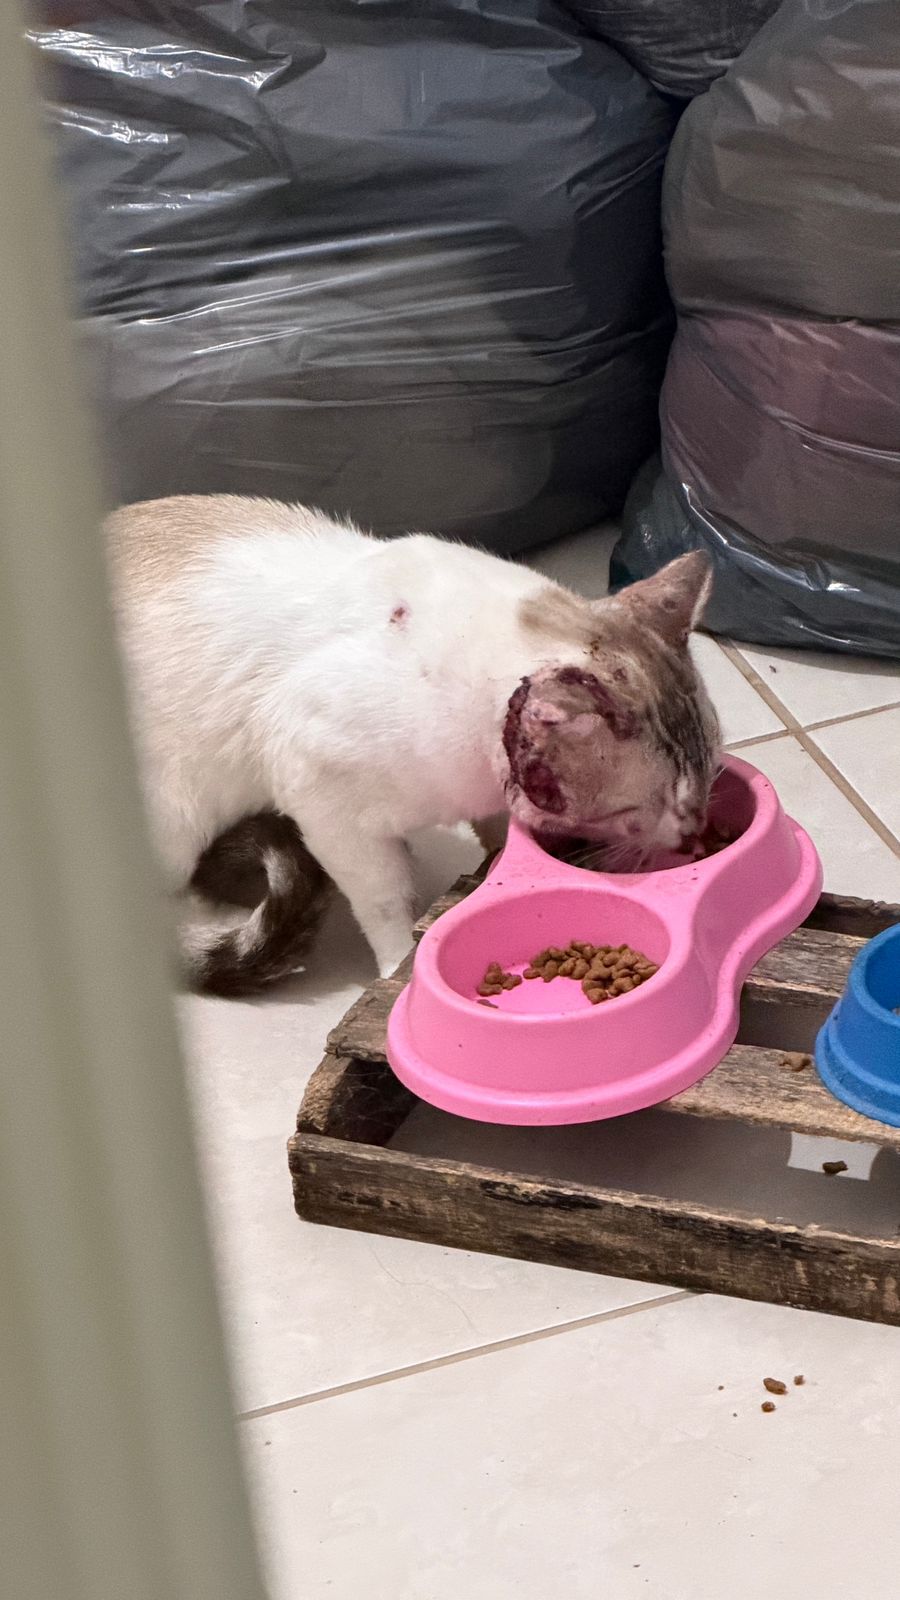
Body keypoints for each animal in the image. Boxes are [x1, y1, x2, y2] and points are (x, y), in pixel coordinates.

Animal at [106, 495, 720, 994]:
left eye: (711, 774)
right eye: (652, 804)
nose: (694, 834)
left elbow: (498, 839)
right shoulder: (326, 805)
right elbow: (385, 904)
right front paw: (399, 964)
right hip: (175, 823)